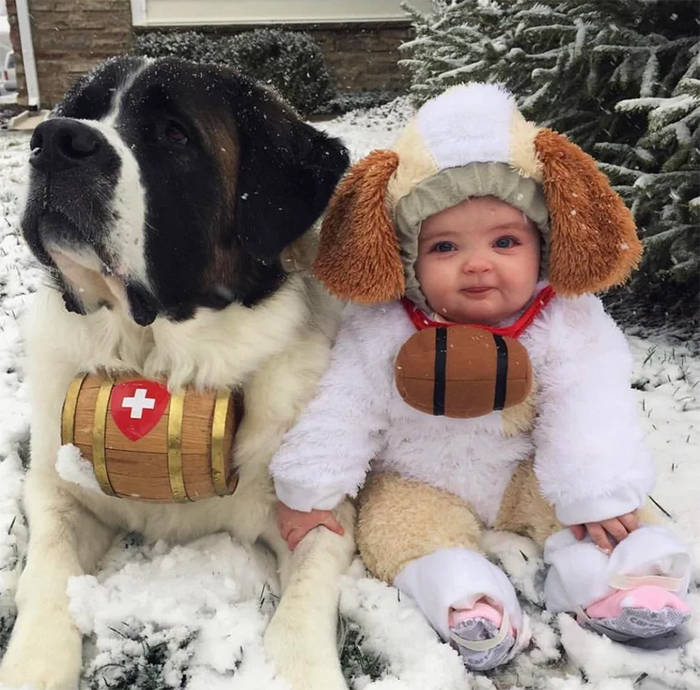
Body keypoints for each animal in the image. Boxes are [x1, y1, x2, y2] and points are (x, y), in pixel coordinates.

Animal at [0, 56, 358, 684]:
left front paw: (298, 671)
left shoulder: (321, 511)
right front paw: (31, 668)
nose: (56, 139)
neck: (156, 356)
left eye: (174, 134)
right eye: (79, 110)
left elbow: (304, 602)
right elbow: (48, 572)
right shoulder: (57, 490)